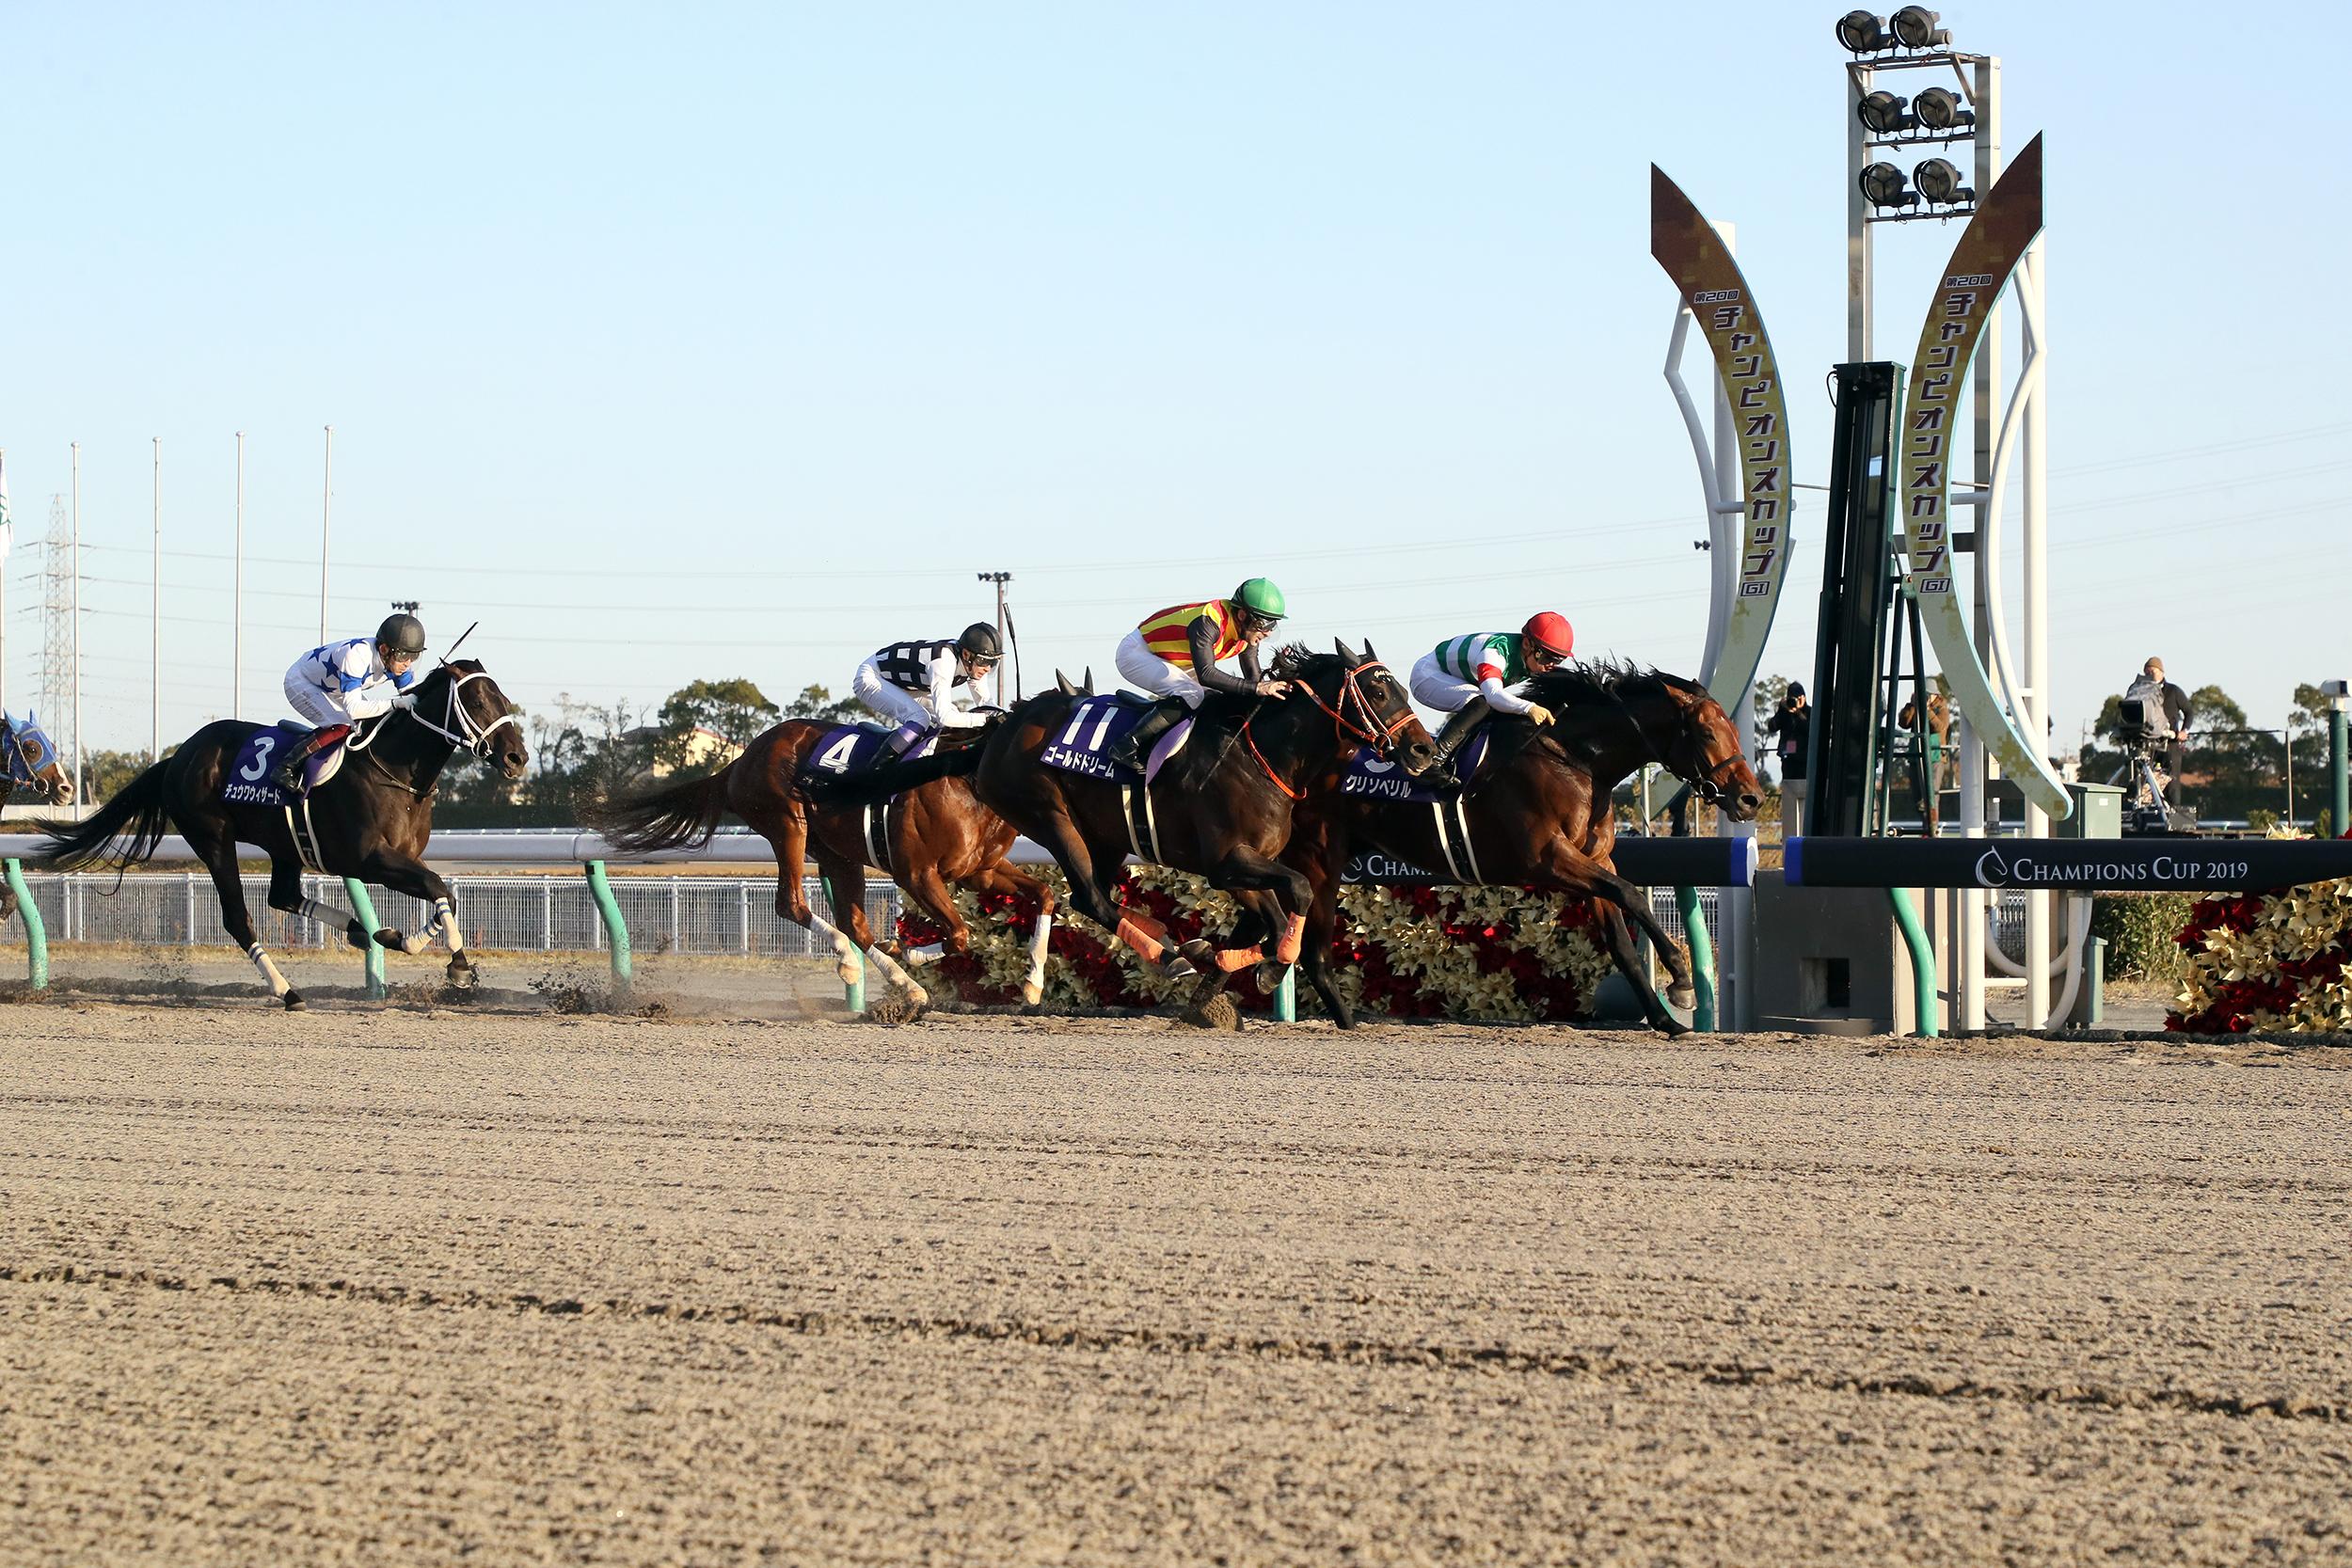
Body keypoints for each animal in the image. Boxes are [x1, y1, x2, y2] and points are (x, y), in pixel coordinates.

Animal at [32, 657, 529, 1006]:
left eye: (503, 699)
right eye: (477, 702)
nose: (517, 757)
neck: (394, 772)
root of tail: (177, 758)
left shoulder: (404, 856)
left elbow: (444, 892)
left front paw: (403, 938)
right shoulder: (368, 859)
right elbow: (437, 885)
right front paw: (457, 965)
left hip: (284, 845)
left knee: (283, 897)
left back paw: (360, 932)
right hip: (213, 839)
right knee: (239, 917)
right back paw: (287, 990)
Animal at [583, 714, 1063, 1006]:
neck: (966, 781)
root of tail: (741, 760)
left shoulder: (980, 871)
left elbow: (1043, 895)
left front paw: (1032, 984)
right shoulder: (916, 873)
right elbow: (959, 934)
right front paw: (907, 949)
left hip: (836, 850)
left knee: (854, 922)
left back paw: (904, 988)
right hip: (787, 824)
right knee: (793, 903)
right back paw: (853, 962)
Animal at [804, 639, 1430, 987]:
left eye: (1399, 686)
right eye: (1378, 691)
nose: (1424, 750)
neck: (1260, 754)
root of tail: (999, 730)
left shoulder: (1232, 867)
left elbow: (1268, 916)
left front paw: (1225, 956)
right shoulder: (1229, 859)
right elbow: (1295, 892)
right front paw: (1270, 964)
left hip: (1102, 837)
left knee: (1094, 897)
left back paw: (1173, 945)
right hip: (1050, 815)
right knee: (1090, 898)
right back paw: (1166, 953)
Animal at [1270, 657, 1769, 1034]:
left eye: (1734, 730)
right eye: (1707, 734)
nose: (1751, 798)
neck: (1576, 761)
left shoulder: (1596, 860)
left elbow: (1621, 941)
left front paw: (1666, 1021)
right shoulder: (1547, 859)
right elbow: (1630, 894)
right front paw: (1681, 979)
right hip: (1320, 860)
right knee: (1313, 950)